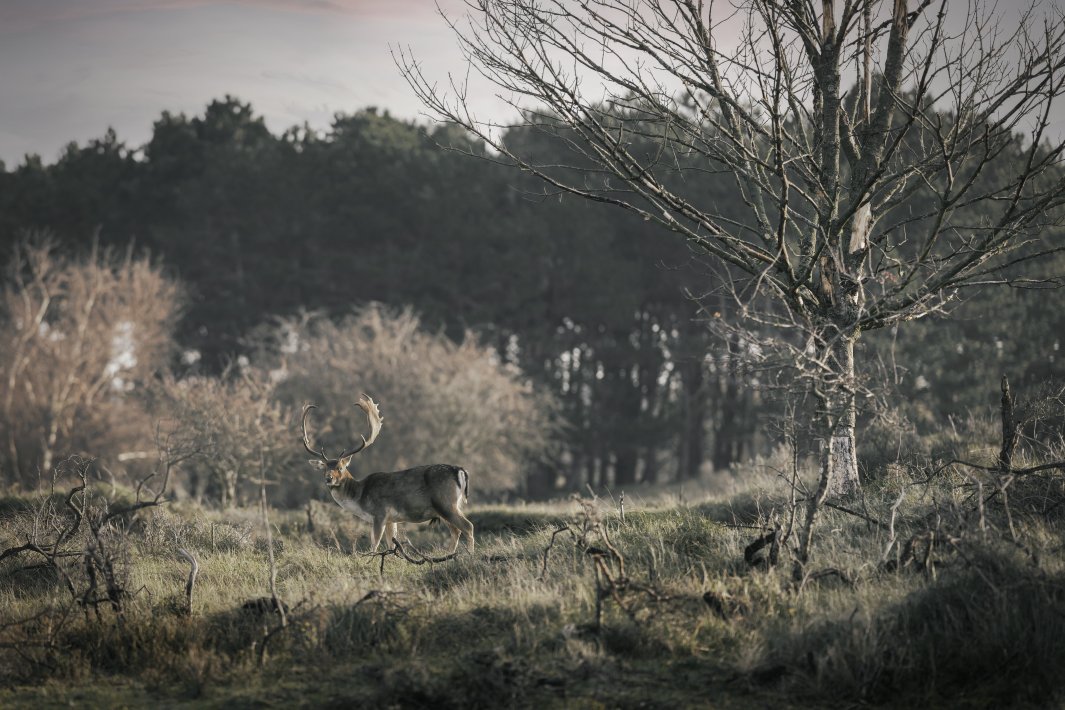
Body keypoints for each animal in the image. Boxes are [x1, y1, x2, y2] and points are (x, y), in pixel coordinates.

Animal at [300, 393, 474, 553]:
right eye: (324, 468)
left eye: (340, 467)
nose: (329, 479)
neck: (360, 498)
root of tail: (459, 470)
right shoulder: (392, 519)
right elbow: (391, 543)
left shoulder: (380, 513)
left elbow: (374, 544)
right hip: (447, 507)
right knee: (456, 531)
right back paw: (449, 554)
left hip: (445, 503)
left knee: (468, 526)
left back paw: (468, 555)